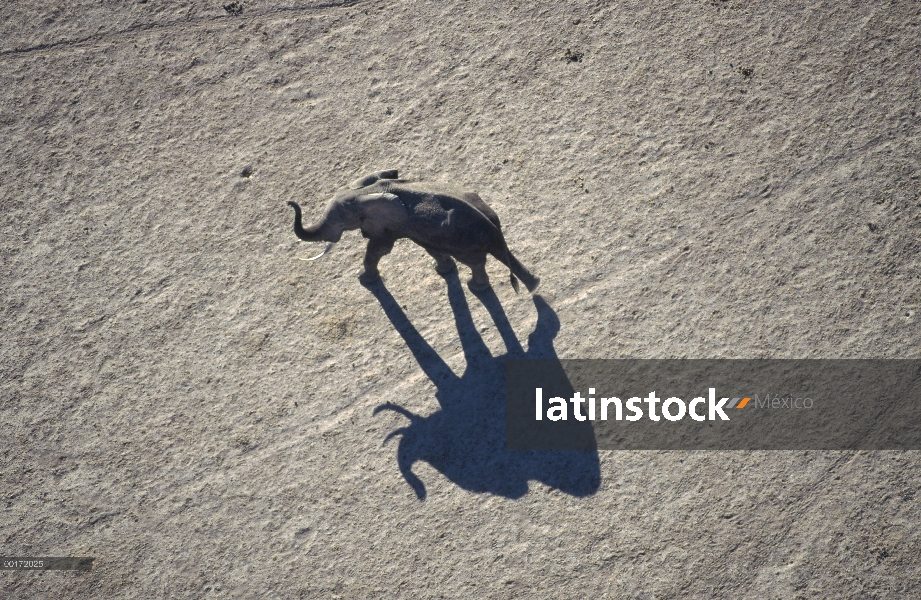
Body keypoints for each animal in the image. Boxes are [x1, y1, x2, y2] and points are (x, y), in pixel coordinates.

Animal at [284, 170, 536, 292]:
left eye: (340, 224)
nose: (289, 202)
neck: (366, 190)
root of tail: (491, 223)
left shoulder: (388, 226)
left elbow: (379, 249)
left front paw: (364, 279)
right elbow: (427, 246)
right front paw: (442, 270)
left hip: (464, 240)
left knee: (475, 262)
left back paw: (477, 288)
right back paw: (535, 286)